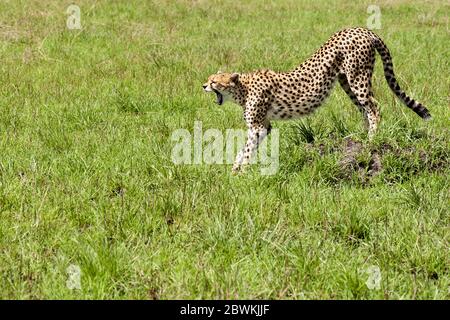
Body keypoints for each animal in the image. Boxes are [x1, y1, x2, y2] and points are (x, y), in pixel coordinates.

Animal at [202, 27, 430, 172]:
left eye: (214, 81)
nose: (203, 85)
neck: (243, 88)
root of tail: (362, 29)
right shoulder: (264, 126)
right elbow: (245, 147)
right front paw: (235, 168)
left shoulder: (257, 126)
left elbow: (248, 148)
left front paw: (242, 172)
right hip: (346, 82)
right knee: (363, 109)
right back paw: (360, 139)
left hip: (358, 77)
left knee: (374, 107)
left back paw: (371, 140)